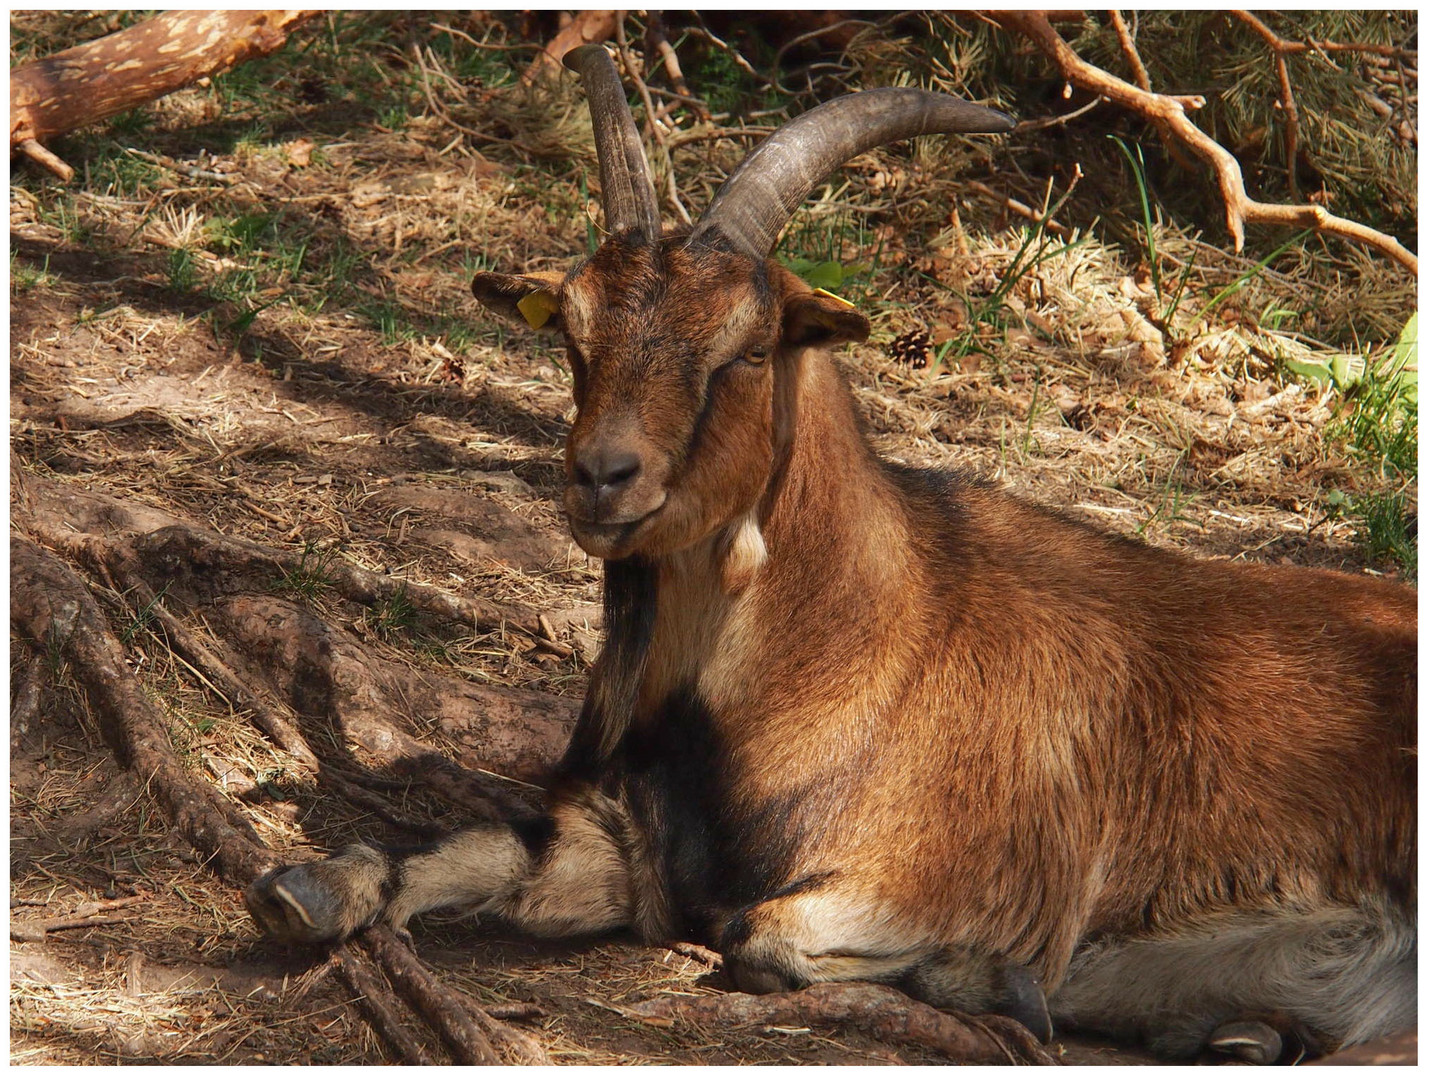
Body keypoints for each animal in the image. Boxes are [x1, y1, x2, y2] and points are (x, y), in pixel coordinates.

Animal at [248, 44, 1417, 1062]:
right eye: (572, 334)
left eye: (748, 347)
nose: (601, 476)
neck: (858, 644)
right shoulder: (631, 841)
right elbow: (489, 849)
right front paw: (314, 888)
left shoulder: (920, 875)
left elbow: (759, 940)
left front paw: (995, 980)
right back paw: (1243, 1028)